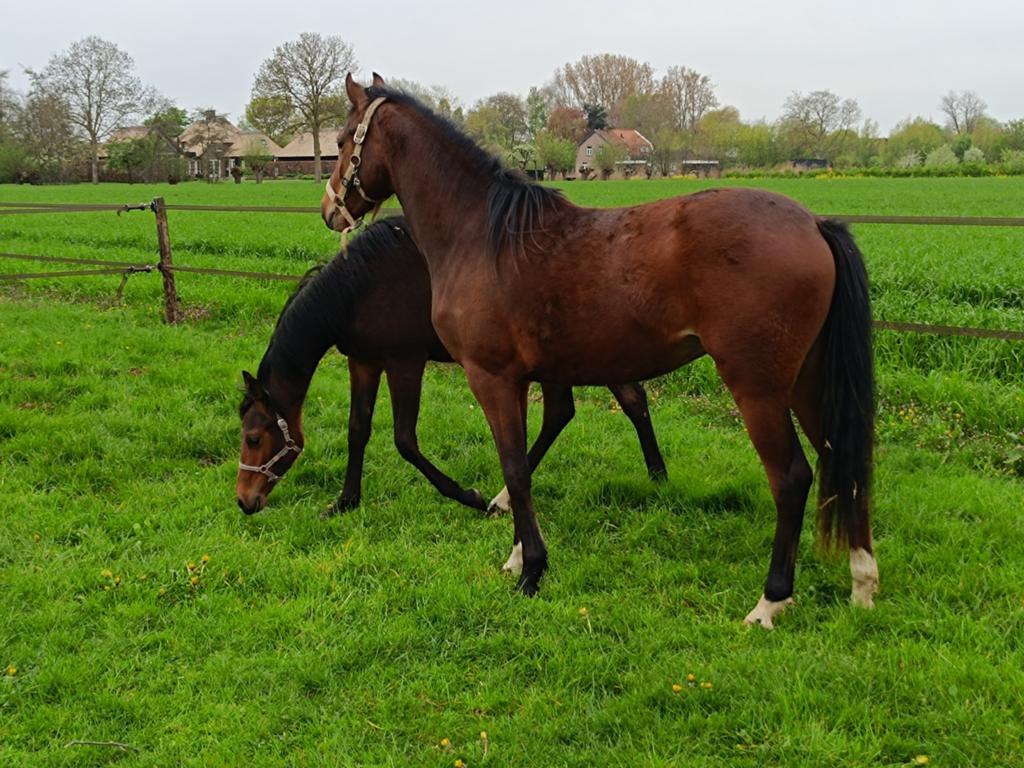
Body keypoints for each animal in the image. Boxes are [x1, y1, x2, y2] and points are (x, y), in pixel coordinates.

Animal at [236, 216, 667, 521]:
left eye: (254, 438)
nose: (243, 500)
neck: (361, 286)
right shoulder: (364, 362)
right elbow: (357, 431)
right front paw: (346, 502)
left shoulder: (404, 362)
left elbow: (405, 440)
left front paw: (470, 497)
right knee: (624, 399)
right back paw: (657, 475)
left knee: (566, 411)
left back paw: (503, 498)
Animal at [321, 74, 878, 628]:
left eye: (344, 140)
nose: (329, 211)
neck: (480, 235)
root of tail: (813, 224)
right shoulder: (519, 380)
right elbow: (520, 466)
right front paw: (518, 555)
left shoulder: (491, 378)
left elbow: (515, 468)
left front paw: (532, 569)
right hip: (807, 382)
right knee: (844, 462)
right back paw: (862, 584)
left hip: (758, 389)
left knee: (792, 478)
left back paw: (770, 600)